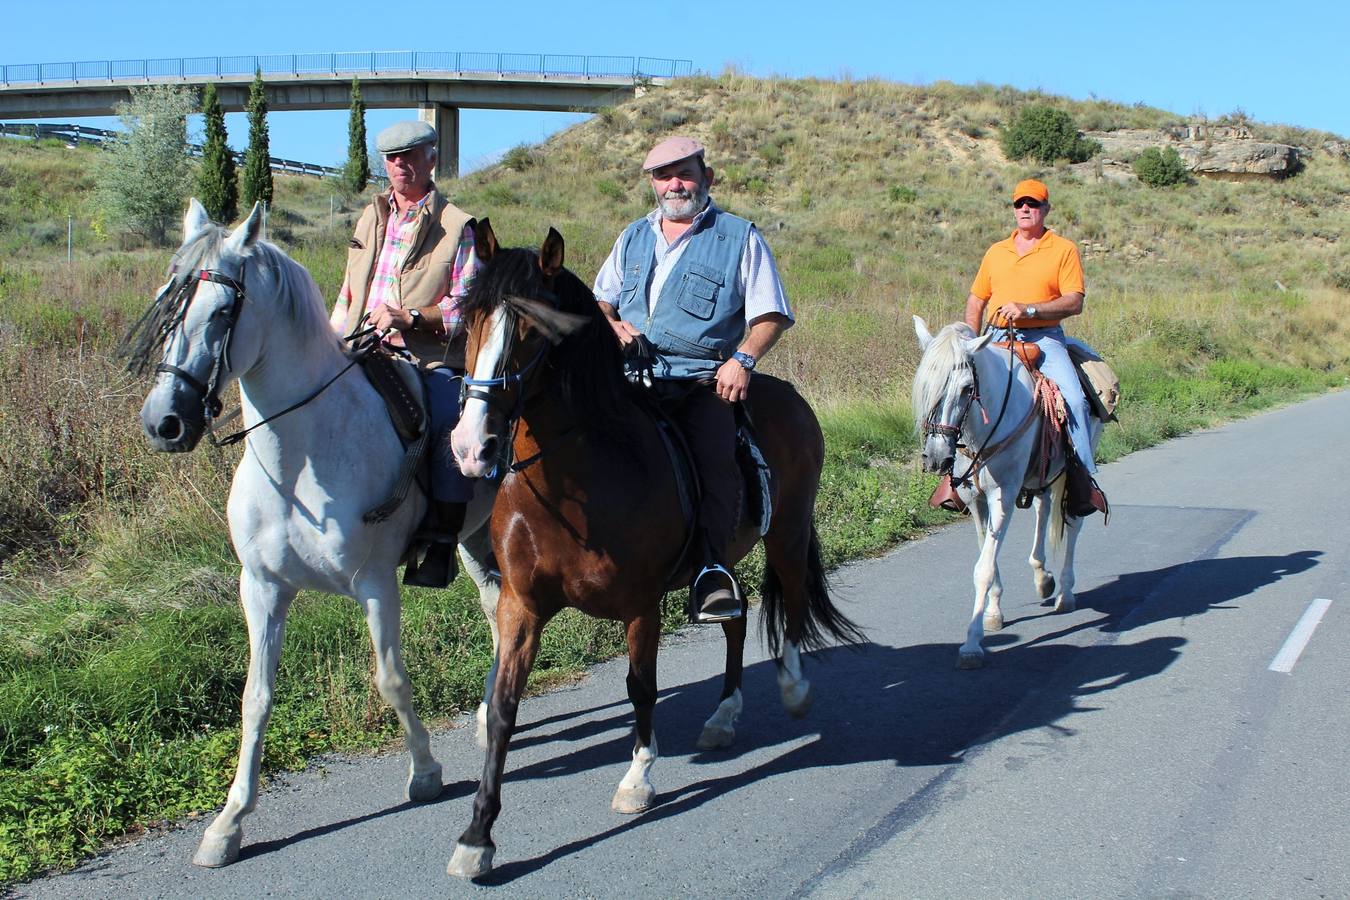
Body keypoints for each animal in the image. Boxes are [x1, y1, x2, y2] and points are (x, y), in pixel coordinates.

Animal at [132, 202, 502, 863]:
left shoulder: (376, 585)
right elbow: (255, 699)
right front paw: (229, 822)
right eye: (165, 303)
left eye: (223, 311)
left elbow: (390, 680)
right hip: (473, 539)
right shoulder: (262, 588)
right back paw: (489, 715)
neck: (300, 458)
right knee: (496, 607)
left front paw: (426, 772)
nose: (164, 422)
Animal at [445, 223, 864, 879]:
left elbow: (640, 686)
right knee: (735, 616)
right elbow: (504, 705)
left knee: (791, 602)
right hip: (726, 559)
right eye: (470, 319)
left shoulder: (640, 604)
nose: (471, 446)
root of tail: (789, 396)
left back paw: (793, 688)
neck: (580, 475)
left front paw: (638, 779)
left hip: (788, 532)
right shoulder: (519, 605)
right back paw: (722, 717)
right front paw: (477, 836)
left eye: (534, 331)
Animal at [912, 317, 1101, 669]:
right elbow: (987, 553)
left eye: (966, 388)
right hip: (1043, 471)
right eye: (926, 387)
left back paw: (1066, 592)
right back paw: (1043, 577)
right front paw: (993, 612)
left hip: (1078, 461)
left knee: (1073, 522)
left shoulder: (1004, 493)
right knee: (1043, 507)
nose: (936, 458)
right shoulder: (975, 499)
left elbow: (983, 568)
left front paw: (972, 643)